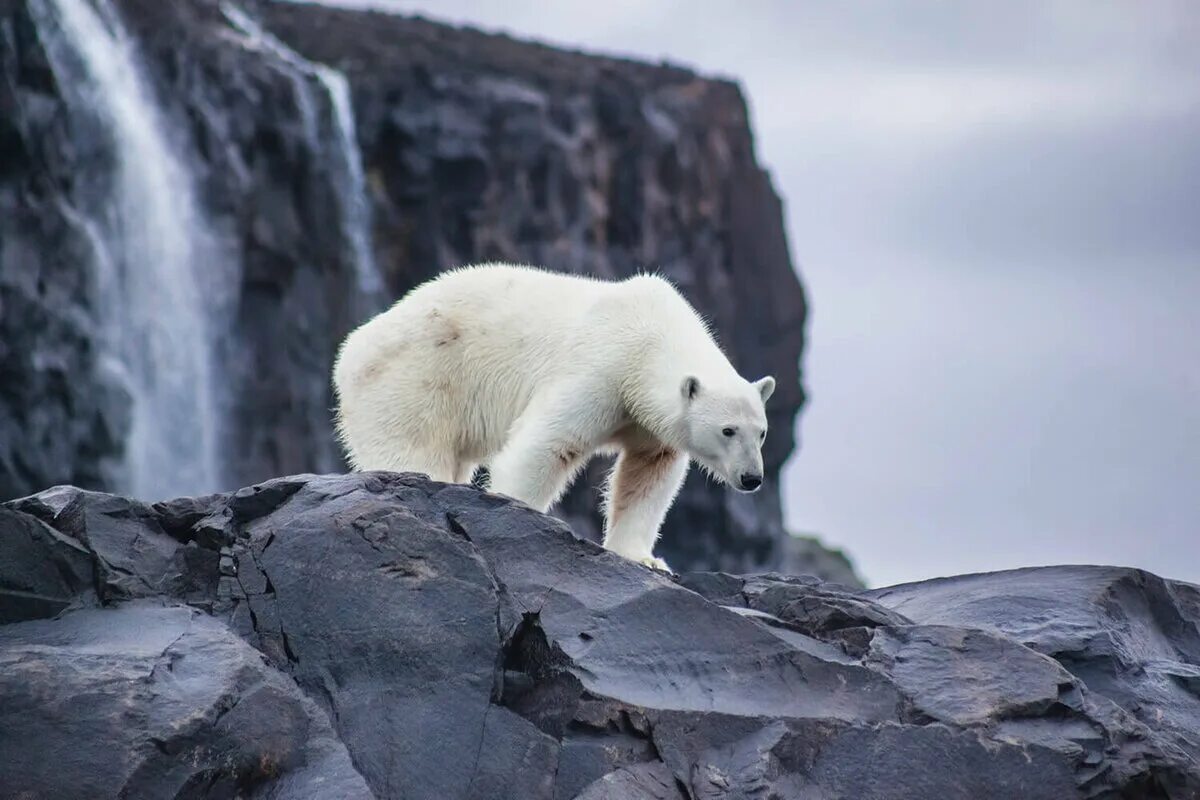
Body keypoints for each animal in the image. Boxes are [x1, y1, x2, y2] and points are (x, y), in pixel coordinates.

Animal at [333, 266, 772, 573]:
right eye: (728, 430)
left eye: (762, 433)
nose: (752, 477)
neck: (650, 337)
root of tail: (352, 349)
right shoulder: (601, 368)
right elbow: (547, 443)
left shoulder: (648, 422)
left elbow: (648, 475)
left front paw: (644, 558)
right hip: (415, 379)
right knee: (411, 445)